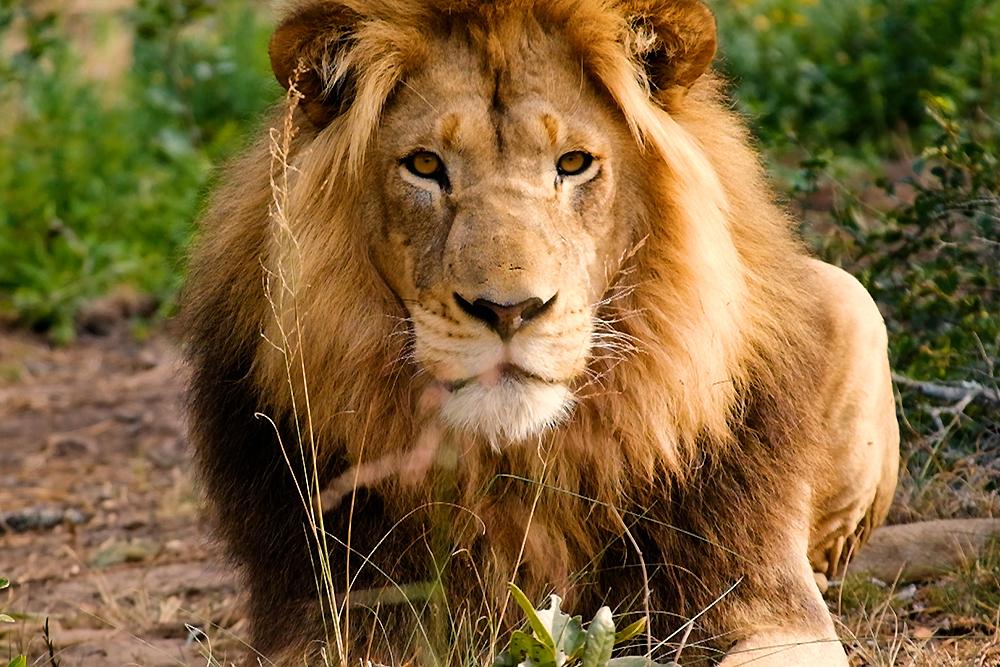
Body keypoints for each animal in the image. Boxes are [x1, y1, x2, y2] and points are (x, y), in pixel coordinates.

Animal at [182, 0, 899, 664]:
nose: (510, 310)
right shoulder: (324, 616)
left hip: (852, 297)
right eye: (425, 165)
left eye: (573, 163)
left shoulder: (764, 601)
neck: (518, 468)